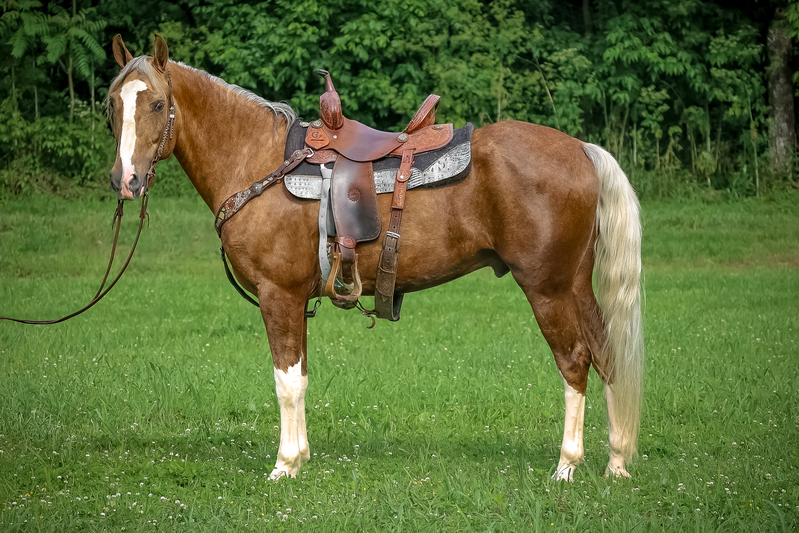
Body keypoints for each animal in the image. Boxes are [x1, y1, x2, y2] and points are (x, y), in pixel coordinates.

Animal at [106, 35, 644, 480]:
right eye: (112, 104)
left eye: (157, 103)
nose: (125, 180)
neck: (258, 160)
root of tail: (581, 148)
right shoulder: (295, 301)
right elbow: (301, 376)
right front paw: (301, 458)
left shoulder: (278, 296)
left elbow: (286, 381)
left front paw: (284, 465)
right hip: (575, 284)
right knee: (607, 356)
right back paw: (617, 462)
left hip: (546, 287)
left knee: (574, 361)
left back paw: (567, 465)